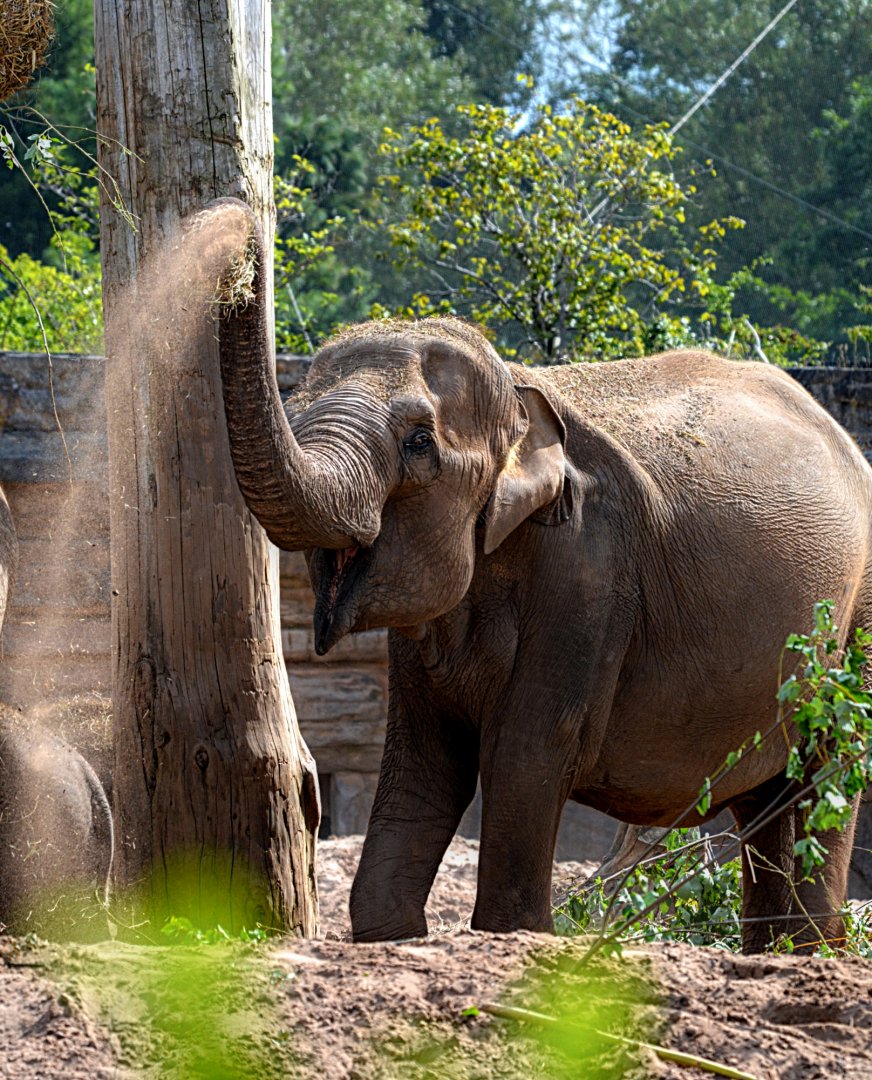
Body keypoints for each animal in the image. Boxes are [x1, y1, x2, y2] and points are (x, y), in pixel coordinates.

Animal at [212, 200, 872, 952]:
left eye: (419, 443)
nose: (236, 234)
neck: (519, 386)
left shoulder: (590, 568)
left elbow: (526, 750)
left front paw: (516, 934)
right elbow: (423, 761)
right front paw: (390, 934)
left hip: (856, 622)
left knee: (825, 774)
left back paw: (809, 946)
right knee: (772, 799)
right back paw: (779, 951)